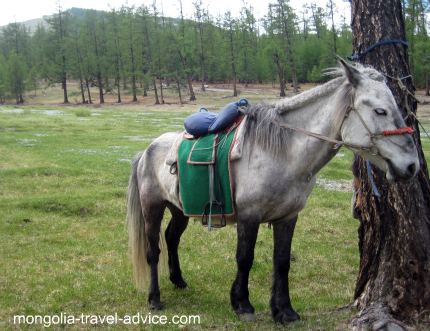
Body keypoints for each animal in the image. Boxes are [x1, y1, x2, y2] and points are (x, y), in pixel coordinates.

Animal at [125, 59, 420, 324]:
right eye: (380, 111)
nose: (411, 165)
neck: (281, 153)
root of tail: (147, 149)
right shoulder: (249, 217)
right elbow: (245, 258)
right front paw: (242, 304)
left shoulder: (287, 218)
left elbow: (282, 262)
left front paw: (284, 311)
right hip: (152, 208)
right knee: (154, 250)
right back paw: (154, 298)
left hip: (180, 209)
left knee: (172, 238)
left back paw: (178, 280)